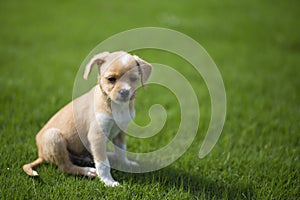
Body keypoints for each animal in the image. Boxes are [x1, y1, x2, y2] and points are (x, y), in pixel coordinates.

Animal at [22, 51, 152, 186]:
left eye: (133, 79)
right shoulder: (97, 135)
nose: (125, 92)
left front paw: (126, 164)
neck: (115, 106)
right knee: (64, 167)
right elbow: (103, 163)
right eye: (111, 79)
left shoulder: (120, 132)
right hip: (54, 136)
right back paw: (87, 171)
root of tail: (40, 154)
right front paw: (108, 181)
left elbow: (122, 151)